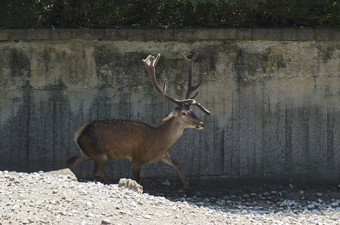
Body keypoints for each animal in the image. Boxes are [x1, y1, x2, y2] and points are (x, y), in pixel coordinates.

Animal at [66, 52, 210, 188]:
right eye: (184, 113)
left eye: (193, 111)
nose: (201, 123)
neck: (158, 142)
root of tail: (78, 133)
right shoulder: (136, 159)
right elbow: (137, 179)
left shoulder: (164, 156)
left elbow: (177, 164)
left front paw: (188, 187)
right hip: (99, 153)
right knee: (97, 172)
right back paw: (113, 182)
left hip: (86, 152)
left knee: (70, 162)